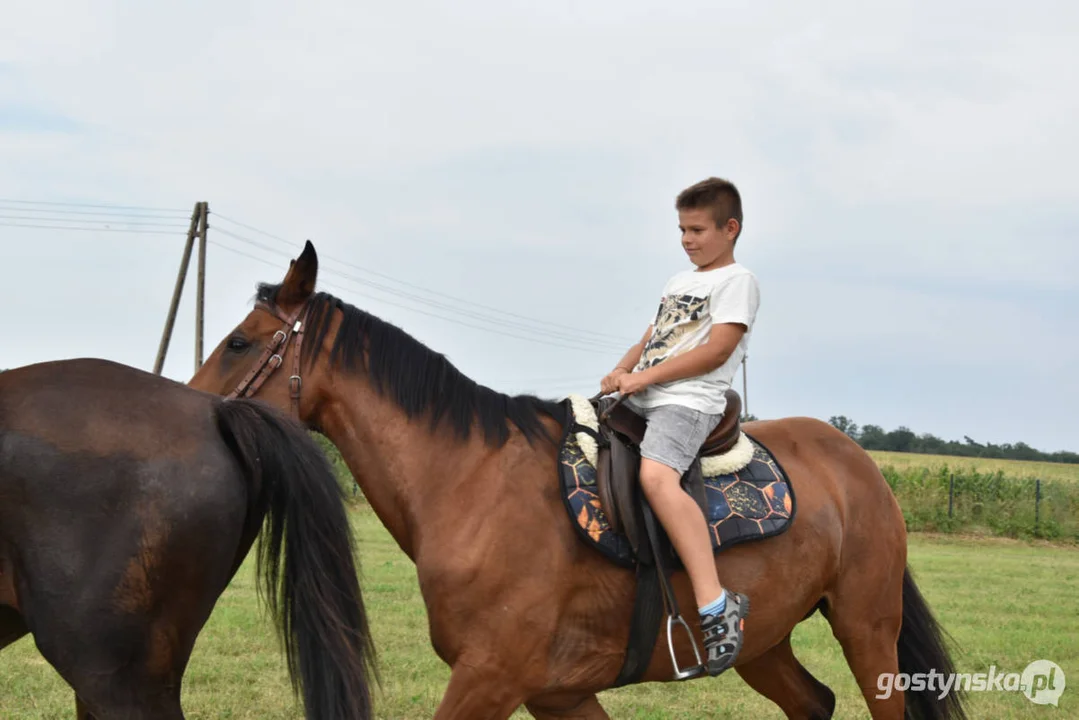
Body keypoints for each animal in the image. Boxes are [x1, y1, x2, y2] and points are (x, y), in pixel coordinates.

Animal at [187, 241, 971, 720]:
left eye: (240, 342)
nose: (191, 408)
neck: (469, 483)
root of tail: (855, 462)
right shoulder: (555, 693)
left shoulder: (490, 676)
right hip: (770, 641)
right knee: (812, 702)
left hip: (867, 625)